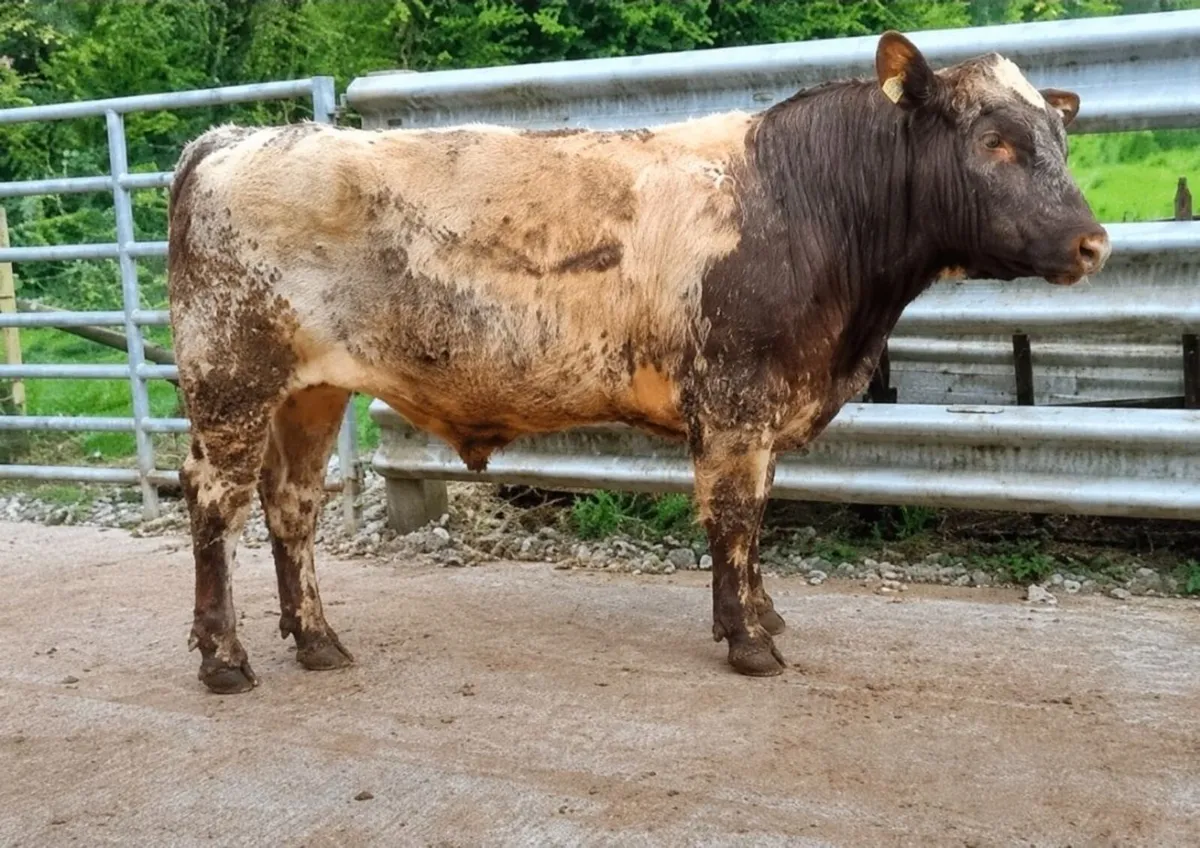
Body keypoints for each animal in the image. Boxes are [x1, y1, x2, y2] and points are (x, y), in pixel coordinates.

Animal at [168, 32, 1109, 693]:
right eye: (993, 141)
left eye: (1058, 138)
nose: (1093, 241)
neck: (805, 203)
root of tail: (233, 137)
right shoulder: (735, 401)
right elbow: (735, 517)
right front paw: (748, 640)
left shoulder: (761, 412)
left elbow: (758, 517)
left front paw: (764, 614)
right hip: (230, 382)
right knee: (215, 504)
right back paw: (224, 658)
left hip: (310, 391)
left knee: (292, 508)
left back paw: (318, 641)